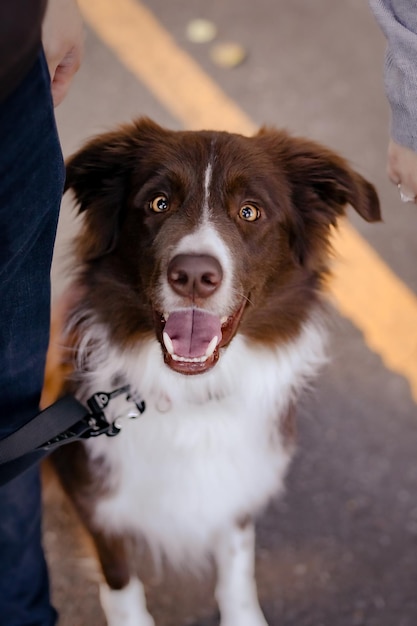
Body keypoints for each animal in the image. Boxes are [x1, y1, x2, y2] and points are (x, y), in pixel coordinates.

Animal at [48, 118, 380, 624]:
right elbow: (122, 584)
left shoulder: (239, 482)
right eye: (158, 203)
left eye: (250, 211)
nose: (193, 276)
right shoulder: (95, 499)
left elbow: (238, 563)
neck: (192, 395)